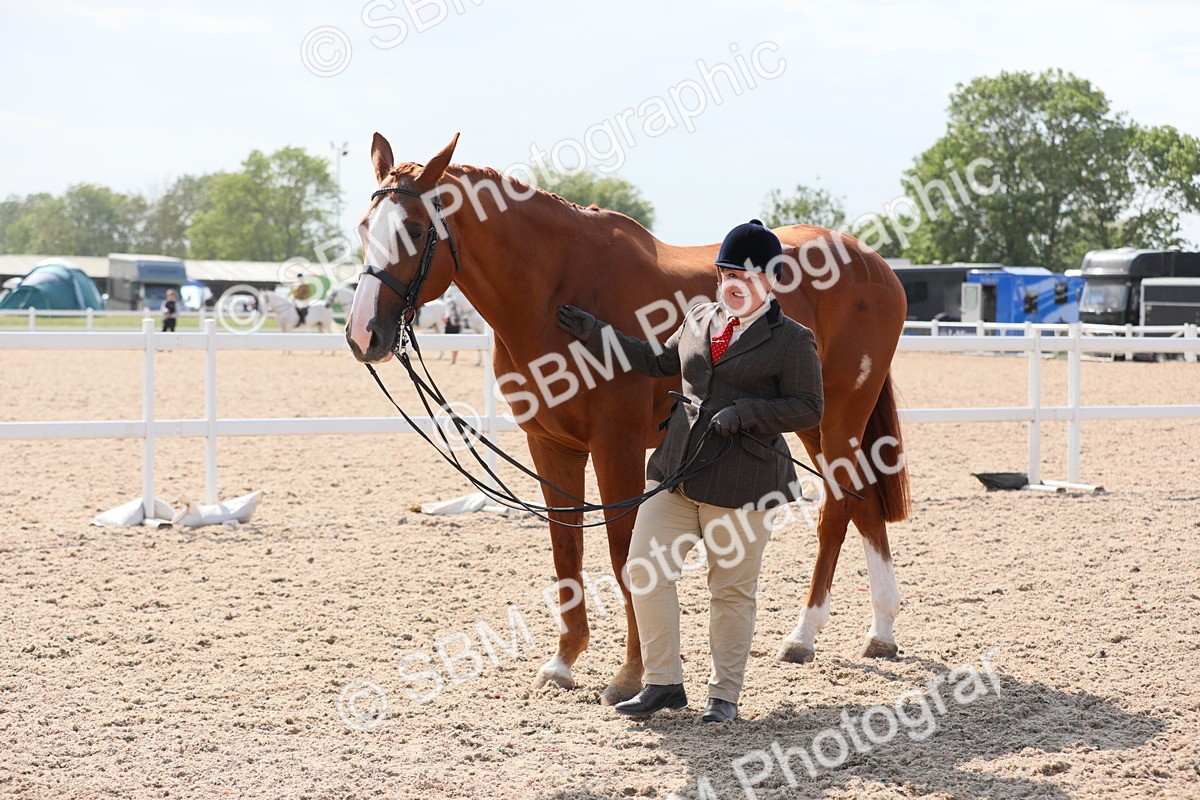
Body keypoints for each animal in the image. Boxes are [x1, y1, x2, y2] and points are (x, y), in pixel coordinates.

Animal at [346, 133, 910, 706]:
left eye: (415, 230)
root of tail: (874, 264)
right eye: (365, 228)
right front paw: (563, 661)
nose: (363, 334)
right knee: (862, 502)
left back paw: (803, 636)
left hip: (838, 417)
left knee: (837, 511)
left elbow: (623, 556)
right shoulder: (550, 446)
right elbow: (567, 550)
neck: (554, 290)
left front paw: (631, 674)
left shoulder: (615, 446)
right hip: (808, 422)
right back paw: (881, 632)